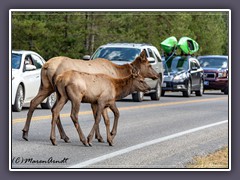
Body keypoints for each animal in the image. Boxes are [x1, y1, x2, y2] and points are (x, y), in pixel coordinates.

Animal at [22, 50, 159, 143]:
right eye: (149, 65)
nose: (158, 75)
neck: (118, 73)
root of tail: (46, 66)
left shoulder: (94, 100)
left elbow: (96, 116)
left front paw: (98, 137)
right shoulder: (102, 98)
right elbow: (104, 118)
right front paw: (104, 137)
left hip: (46, 87)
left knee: (35, 102)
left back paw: (27, 133)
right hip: (60, 92)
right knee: (55, 110)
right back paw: (63, 137)